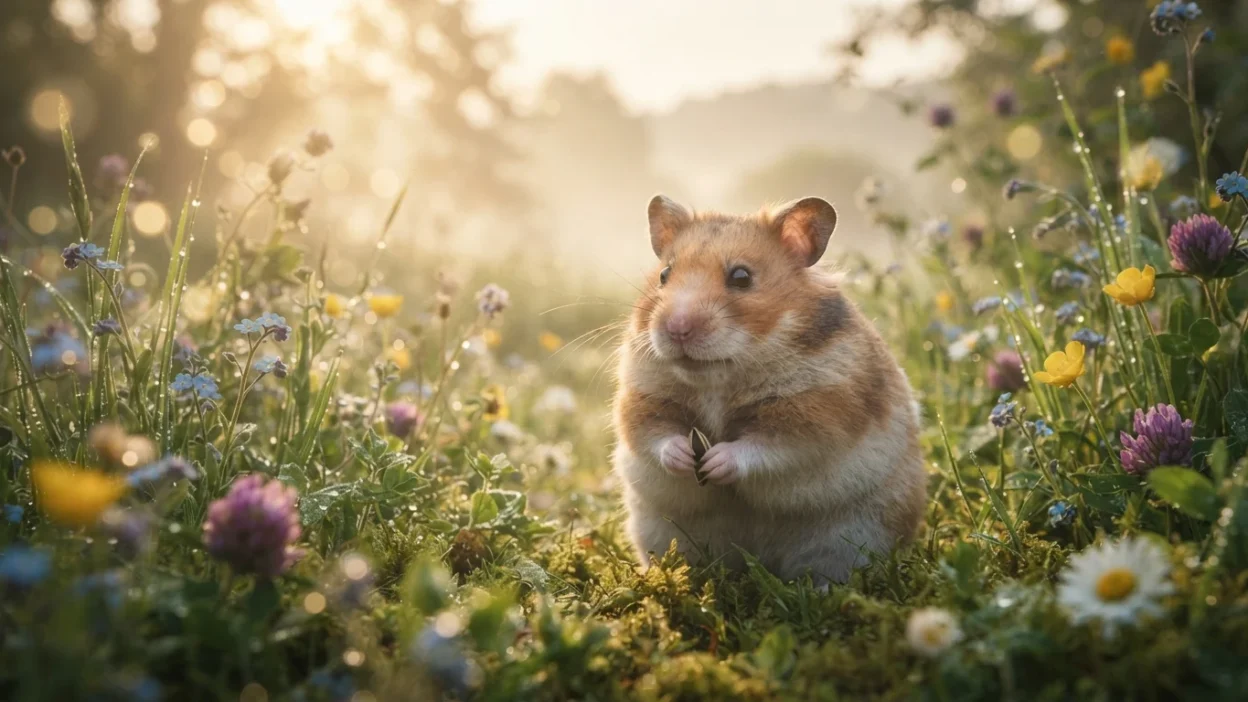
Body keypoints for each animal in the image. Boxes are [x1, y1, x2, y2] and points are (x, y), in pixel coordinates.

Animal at [612, 195, 927, 585]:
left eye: (741, 277)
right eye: (664, 275)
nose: (677, 328)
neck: (718, 375)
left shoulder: (817, 415)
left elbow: (763, 447)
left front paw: (714, 461)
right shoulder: (641, 398)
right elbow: (654, 435)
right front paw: (685, 457)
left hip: (853, 537)